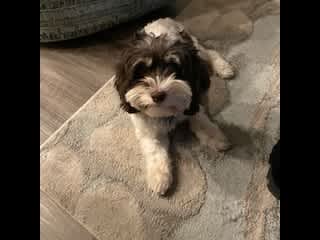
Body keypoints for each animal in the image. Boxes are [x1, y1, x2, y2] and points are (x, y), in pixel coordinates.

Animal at [114, 18, 234, 195]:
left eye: (173, 68)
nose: (157, 95)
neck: (165, 112)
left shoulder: (192, 105)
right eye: (141, 71)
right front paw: (159, 177)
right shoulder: (147, 130)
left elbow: (203, 123)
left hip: (197, 49)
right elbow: (154, 151)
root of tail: (162, 19)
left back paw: (224, 68)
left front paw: (216, 138)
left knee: (210, 53)